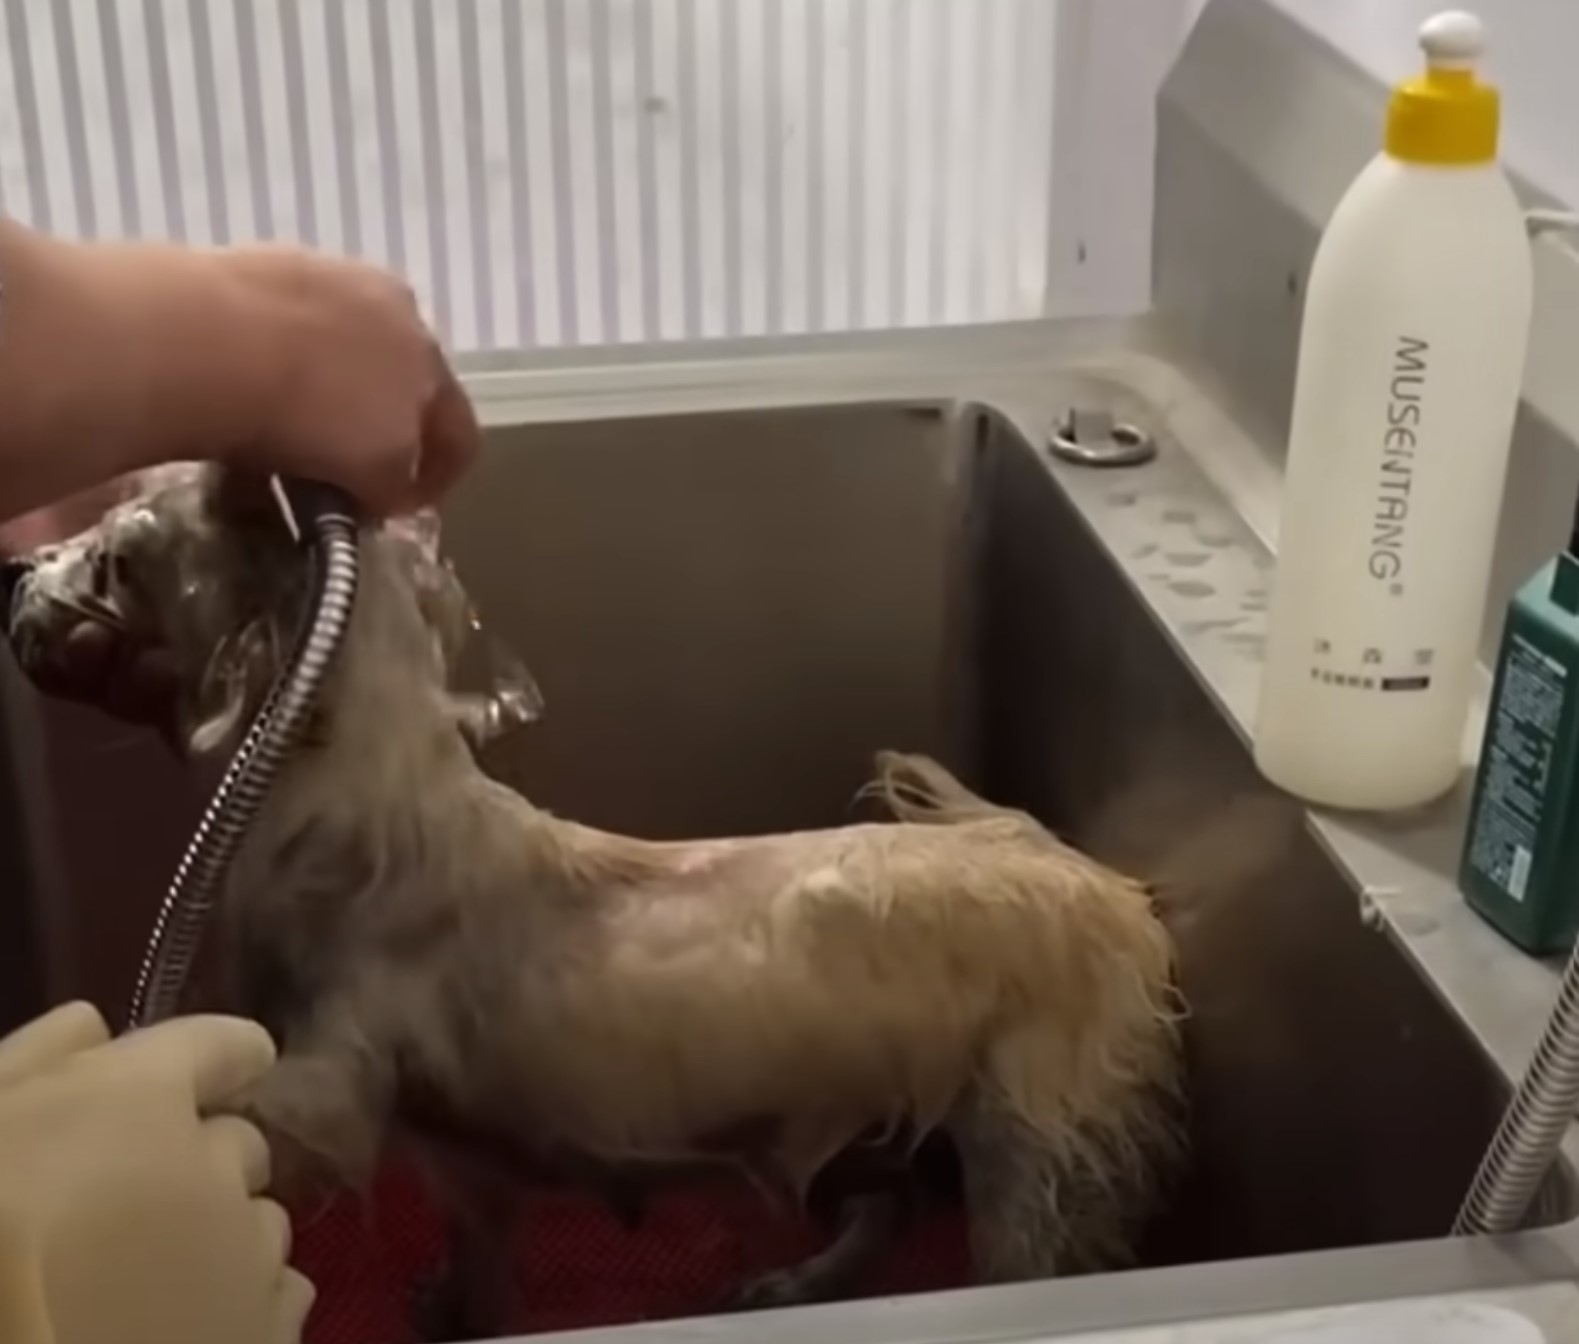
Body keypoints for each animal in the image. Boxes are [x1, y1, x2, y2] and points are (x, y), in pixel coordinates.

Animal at [3, 467, 1187, 1339]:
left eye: (115, 556)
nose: (17, 561)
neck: (359, 800)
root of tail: (1091, 874)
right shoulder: (463, 1161)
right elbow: (477, 1258)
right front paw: (453, 1309)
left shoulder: (336, 1078)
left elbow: (267, 1117)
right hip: (864, 1120)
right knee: (884, 1206)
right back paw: (798, 1284)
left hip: (1024, 1150)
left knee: (1018, 1241)